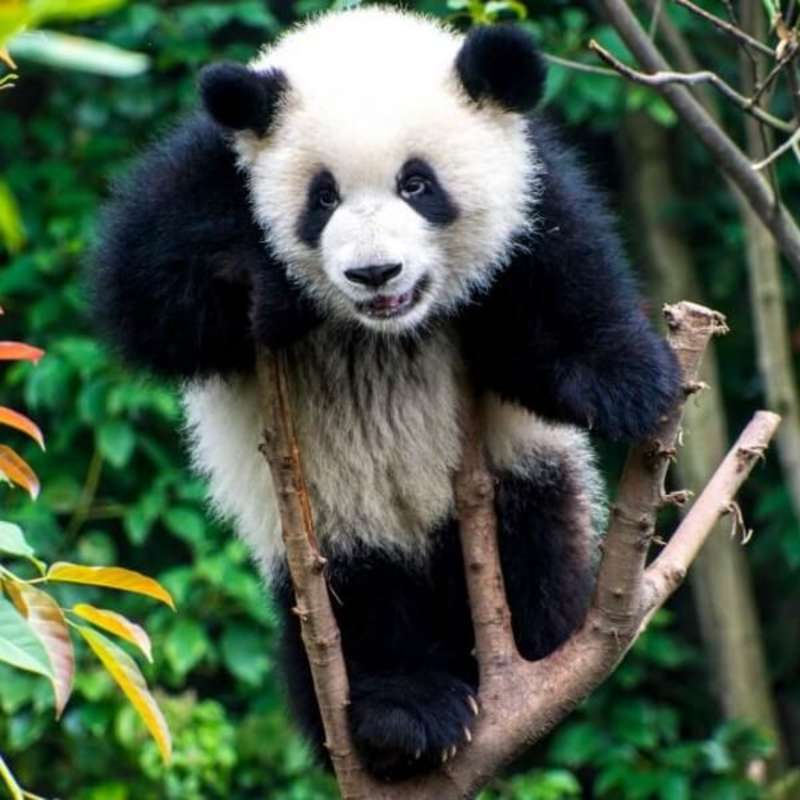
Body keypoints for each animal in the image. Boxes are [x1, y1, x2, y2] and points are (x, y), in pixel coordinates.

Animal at [92, 7, 680, 781]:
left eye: (417, 185)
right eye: (323, 197)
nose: (375, 273)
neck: (382, 329)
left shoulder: (531, 196)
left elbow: (554, 304)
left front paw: (634, 382)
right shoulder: (206, 176)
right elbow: (143, 293)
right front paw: (272, 289)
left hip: (523, 483)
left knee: (537, 547)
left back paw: (523, 654)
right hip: (325, 529)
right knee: (359, 606)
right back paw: (406, 717)